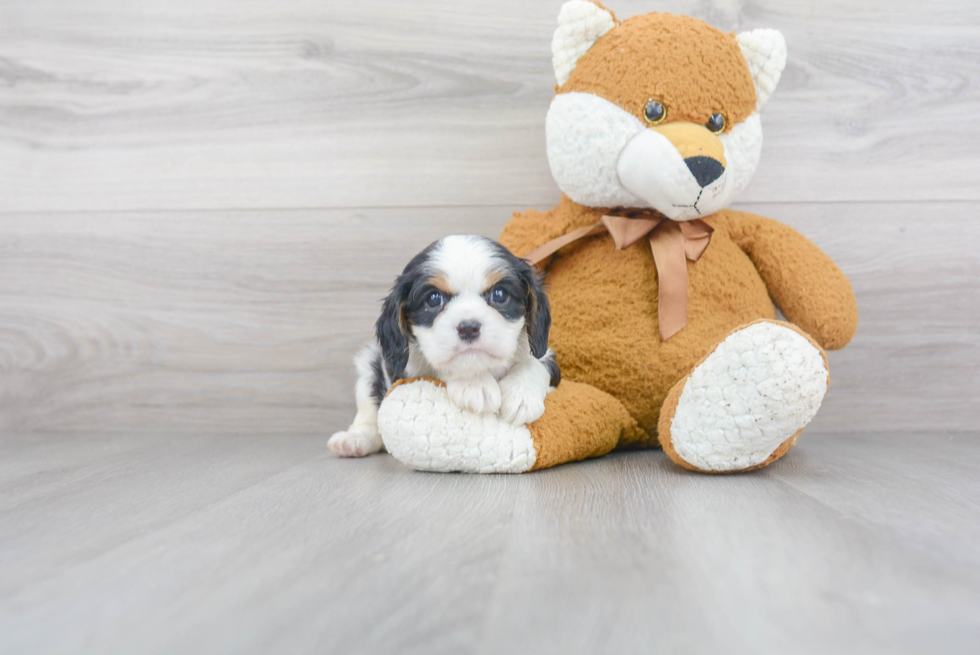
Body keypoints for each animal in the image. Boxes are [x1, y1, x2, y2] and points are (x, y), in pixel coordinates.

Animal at [330, 234, 560, 456]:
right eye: (434, 299)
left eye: (500, 295)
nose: (468, 327)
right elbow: (440, 366)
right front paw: (474, 385)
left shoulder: (546, 356)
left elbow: (533, 363)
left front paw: (521, 395)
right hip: (368, 366)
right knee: (369, 414)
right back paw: (354, 440)